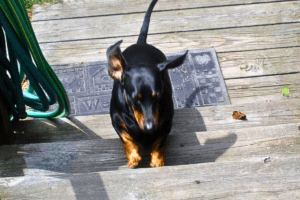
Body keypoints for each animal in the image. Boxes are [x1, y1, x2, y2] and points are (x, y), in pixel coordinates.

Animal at [106, 0, 186, 169]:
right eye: (134, 99)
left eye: (158, 97)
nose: (150, 128)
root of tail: (141, 43)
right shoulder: (116, 120)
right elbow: (126, 137)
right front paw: (133, 157)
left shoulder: (166, 122)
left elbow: (160, 141)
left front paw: (157, 160)